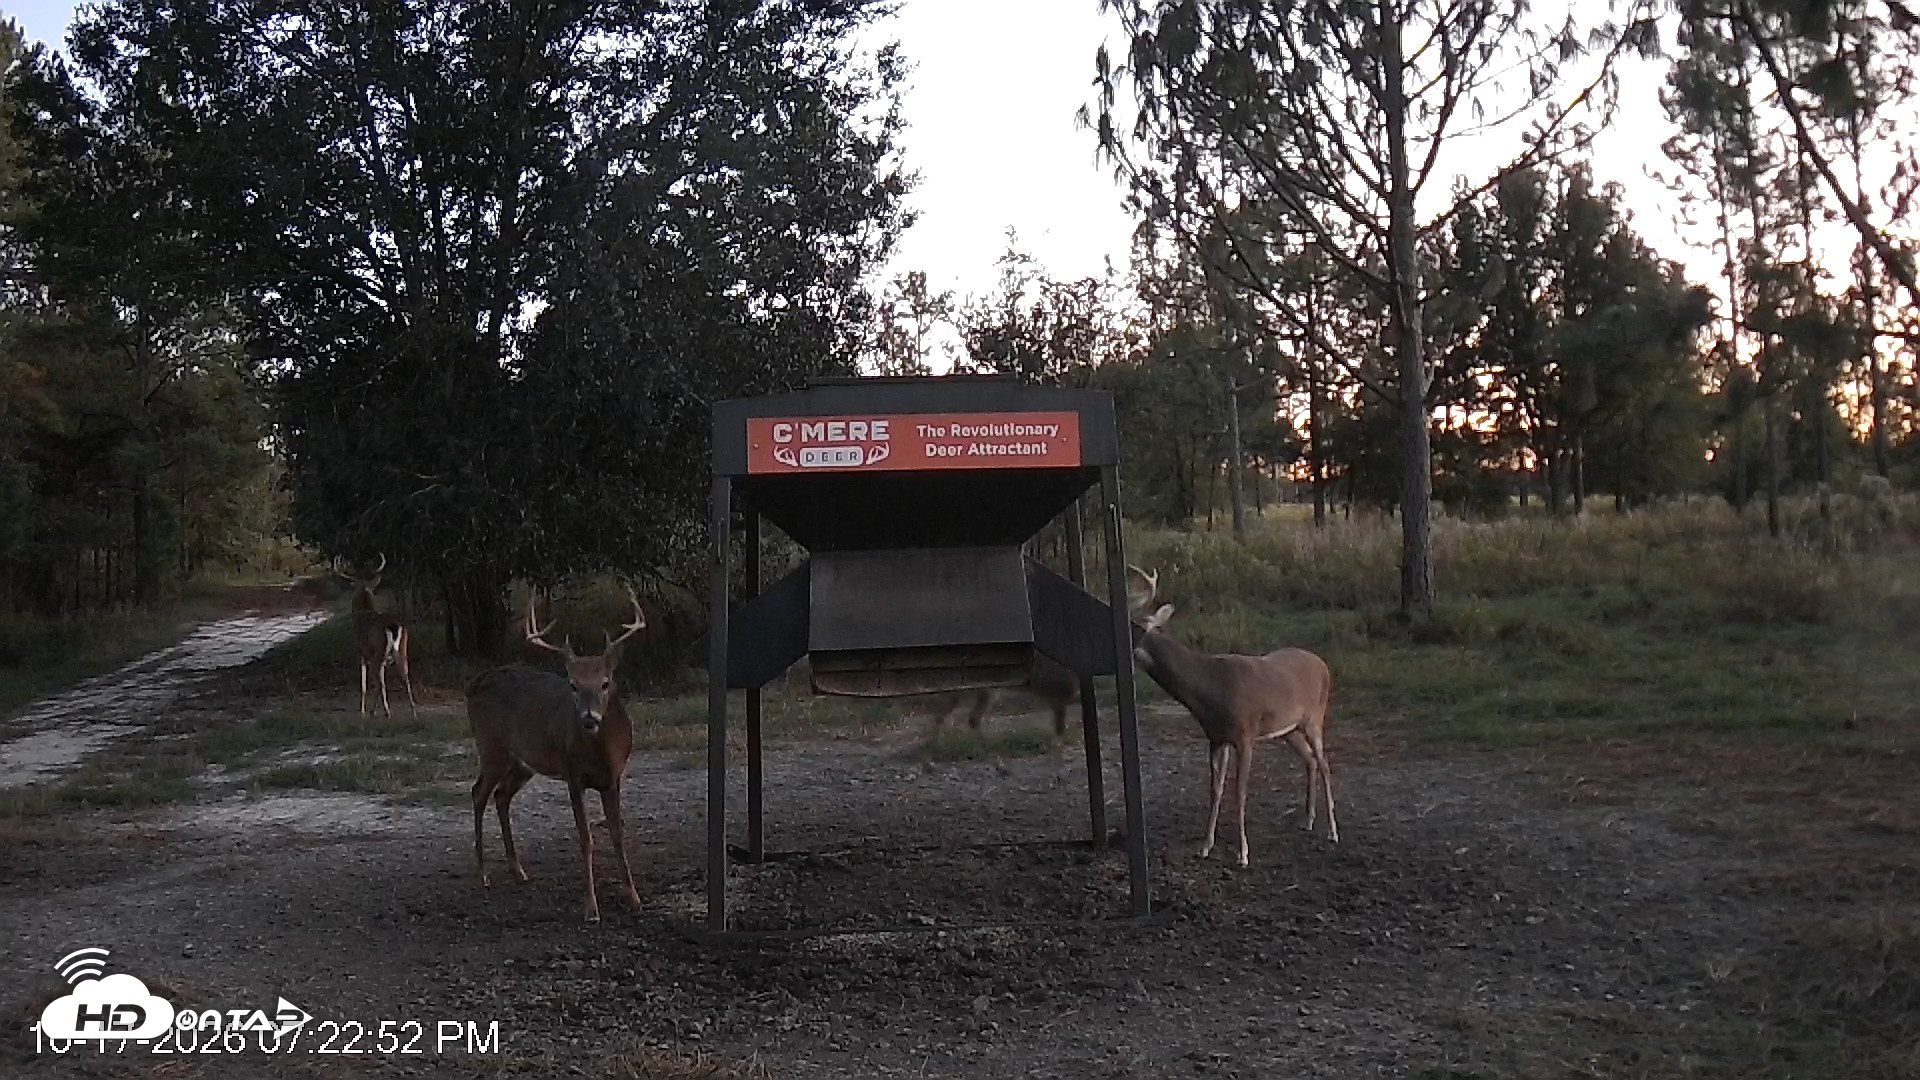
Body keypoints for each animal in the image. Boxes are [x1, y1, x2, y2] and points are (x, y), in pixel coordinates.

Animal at [335, 553, 417, 721]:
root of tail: (393, 625)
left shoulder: (361, 652)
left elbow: (364, 684)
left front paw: (362, 711)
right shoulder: (382, 661)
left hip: (378, 653)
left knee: (380, 684)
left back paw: (384, 712)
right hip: (402, 650)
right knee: (406, 679)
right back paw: (413, 713)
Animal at [465, 586, 647, 923]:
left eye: (605, 683)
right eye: (573, 685)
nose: (589, 719)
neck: (601, 754)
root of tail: (473, 683)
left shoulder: (614, 778)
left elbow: (617, 834)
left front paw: (633, 896)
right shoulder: (572, 774)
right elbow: (586, 838)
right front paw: (591, 907)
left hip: (522, 762)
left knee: (501, 795)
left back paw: (518, 870)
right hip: (491, 747)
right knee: (478, 792)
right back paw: (483, 875)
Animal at [1124, 565, 1338, 868]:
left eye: (1132, 626)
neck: (1210, 688)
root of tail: (1323, 664)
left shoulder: (1244, 734)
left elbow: (1240, 792)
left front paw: (1243, 853)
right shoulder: (1216, 738)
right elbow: (1216, 791)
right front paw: (1204, 847)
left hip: (1314, 718)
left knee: (1325, 763)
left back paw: (1332, 832)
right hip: (1289, 729)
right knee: (1309, 760)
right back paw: (1308, 820)